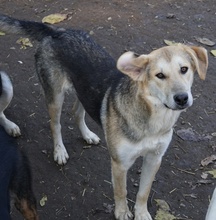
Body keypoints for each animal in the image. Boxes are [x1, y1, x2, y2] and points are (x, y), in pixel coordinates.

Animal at [0, 14, 208, 220]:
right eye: (160, 75)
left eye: (184, 69)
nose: (182, 98)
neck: (153, 120)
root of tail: (56, 31)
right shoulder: (120, 164)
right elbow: (121, 192)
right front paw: (122, 213)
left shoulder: (154, 159)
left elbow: (144, 192)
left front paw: (141, 213)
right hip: (55, 96)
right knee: (55, 124)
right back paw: (59, 150)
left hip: (82, 90)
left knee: (76, 112)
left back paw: (87, 135)